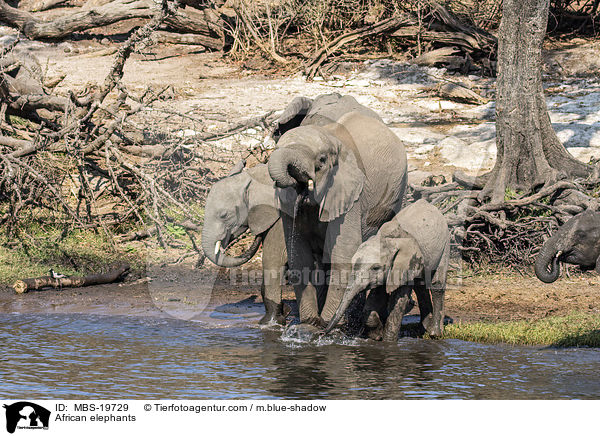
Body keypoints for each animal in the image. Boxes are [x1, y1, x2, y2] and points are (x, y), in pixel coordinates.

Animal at [268, 110, 408, 328]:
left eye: (322, 160)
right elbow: (299, 254)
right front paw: (310, 323)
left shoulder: (352, 195)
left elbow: (344, 252)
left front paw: (326, 324)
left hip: (398, 192)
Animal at [324, 199, 450, 342]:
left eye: (375, 267)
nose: (323, 333)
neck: (387, 239)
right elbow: (377, 296)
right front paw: (376, 335)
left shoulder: (404, 265)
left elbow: (398, 300)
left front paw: (388, 342)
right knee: (420, 286)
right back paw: (424, 329)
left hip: (445, 244)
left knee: (436, 285)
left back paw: (435, 333)